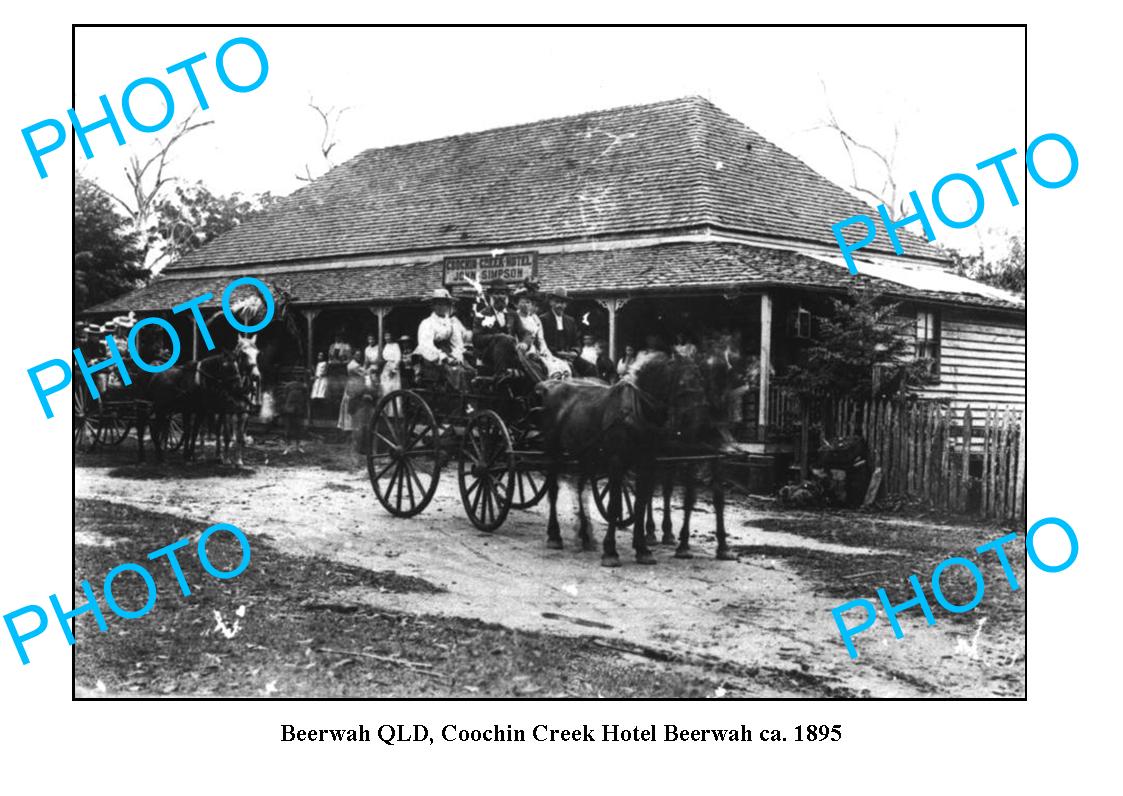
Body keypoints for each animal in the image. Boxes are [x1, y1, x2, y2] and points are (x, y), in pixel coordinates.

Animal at [536, 350, 732, 565]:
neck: (638, 412)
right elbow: (614, 506)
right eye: (682, 382)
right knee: (553, 490)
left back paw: (586, 536)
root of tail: (551, 386)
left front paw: (643, 549)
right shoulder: (616, 463)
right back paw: (555, 535)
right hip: (554, 452)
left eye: (701, 381)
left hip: (586, 455)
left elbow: (640, 504)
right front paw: (611, 551)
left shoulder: (647, 462)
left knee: (580, 488)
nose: (700, 426)